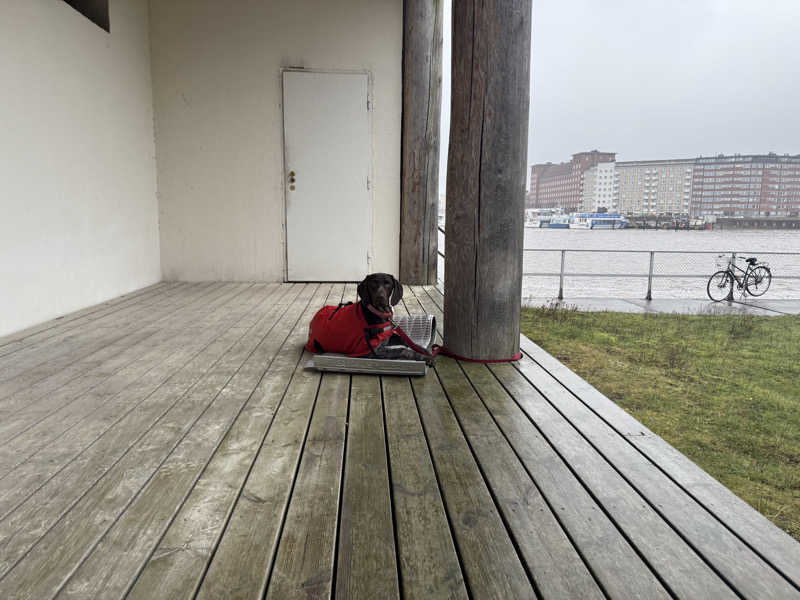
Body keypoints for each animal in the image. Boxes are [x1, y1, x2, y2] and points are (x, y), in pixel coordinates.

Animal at [305, 273, 433, 364]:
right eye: (373, 284)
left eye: (388, 283)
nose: (380, 297)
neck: (379, 313)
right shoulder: (372, 352)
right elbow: (403, 349)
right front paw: (423, 357)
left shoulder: (388, 337)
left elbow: (407, 340)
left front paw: (424, 350)